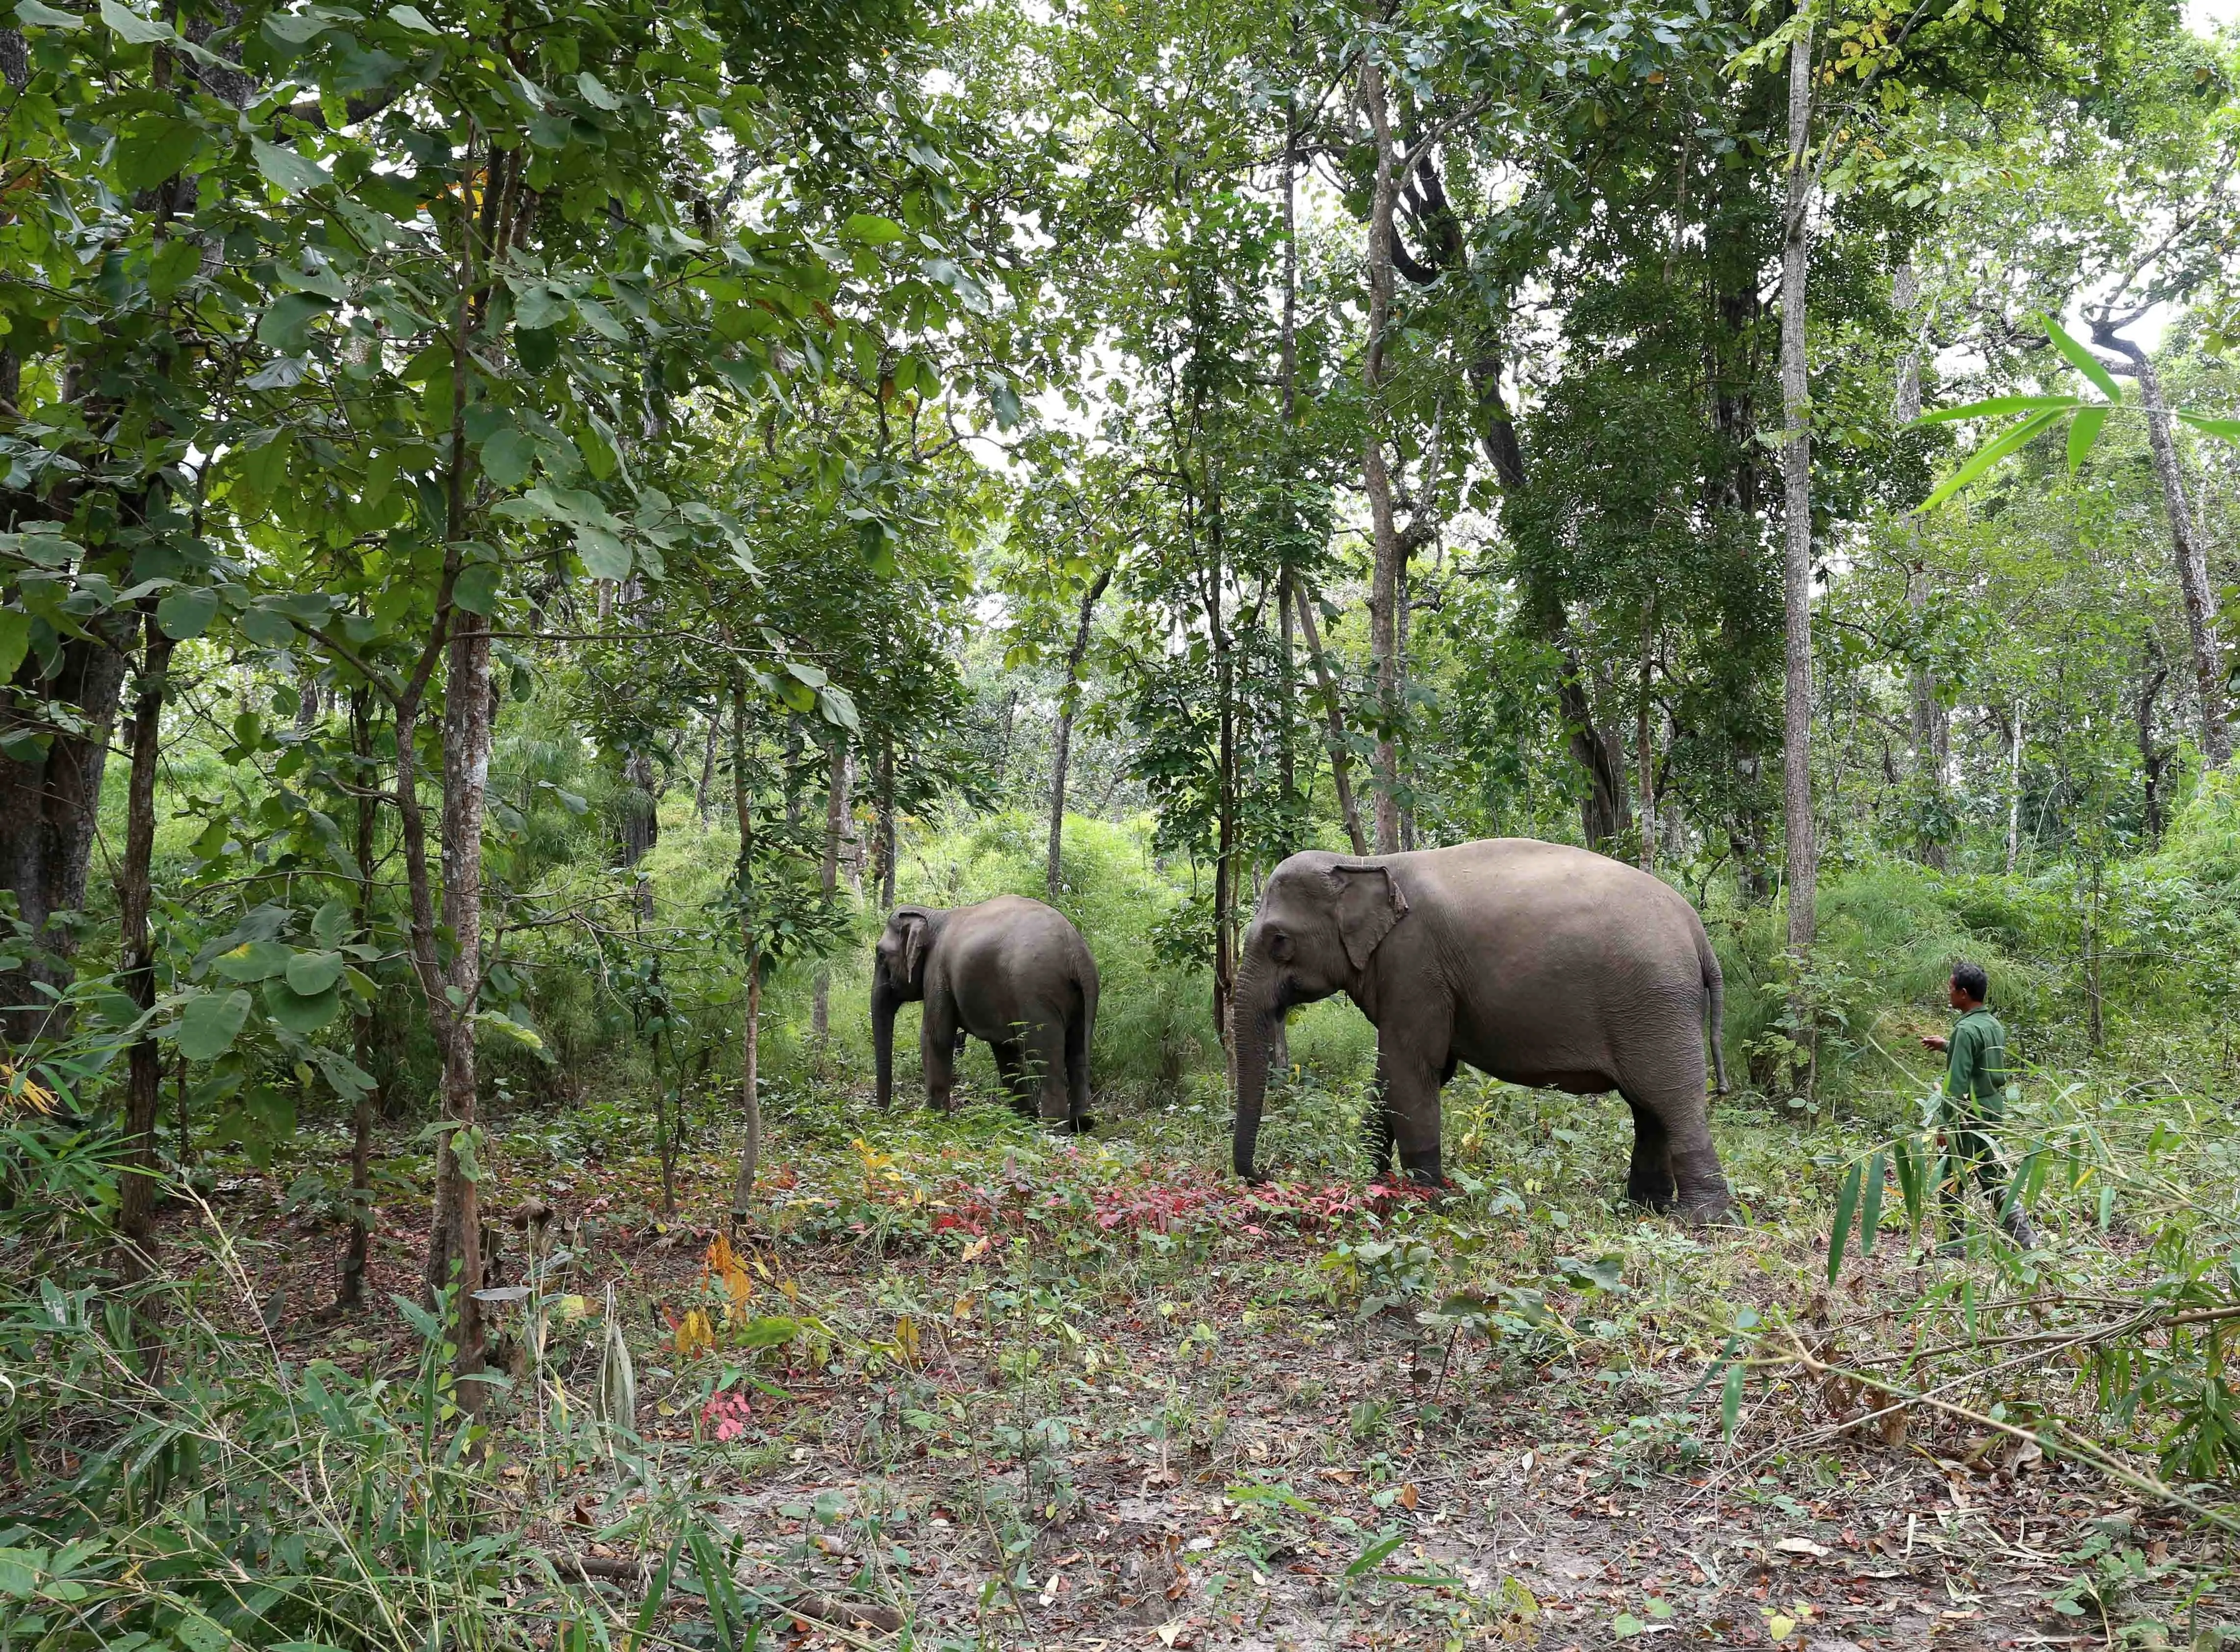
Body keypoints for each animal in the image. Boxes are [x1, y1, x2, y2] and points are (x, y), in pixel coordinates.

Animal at [869, 896, 1097, 1130]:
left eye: (881, 955)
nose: (884, 1115)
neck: (933, 916)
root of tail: (1076, 953)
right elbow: (1005, 1049)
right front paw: (1024, 1120)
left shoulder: (937, 972)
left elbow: (936, 1038)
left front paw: (934, 1122)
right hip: (1079, 998)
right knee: (1077, 1050)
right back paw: (1083, 1122)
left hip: (1037, 994)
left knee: (1045, 1058)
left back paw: (1054, 1128)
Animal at [1227, 843, 1729, 1219]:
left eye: (1278, 941)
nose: (1264, 1175)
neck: (1367, 862)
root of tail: (1700, 937)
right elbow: (1393, 1075)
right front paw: (1374, 1185)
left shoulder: (1415, 964)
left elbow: (1414, 1069)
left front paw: (1426, 1201)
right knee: (1649, 1106)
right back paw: (1643, 1209)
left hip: (1656, 1003)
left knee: (1671, 1098)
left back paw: (1699, 1218)